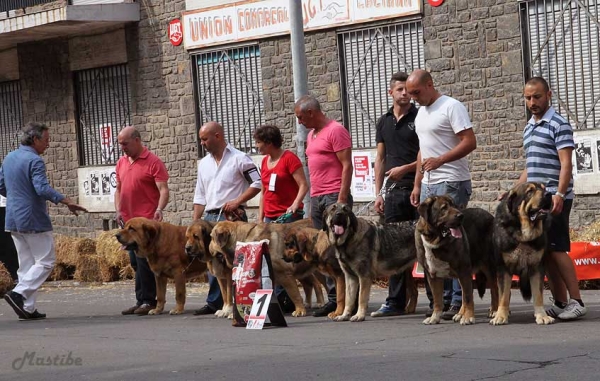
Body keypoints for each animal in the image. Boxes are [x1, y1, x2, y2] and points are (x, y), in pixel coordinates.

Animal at [418, 196, 496, 324]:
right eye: (444, 208)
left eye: (454, 206)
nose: (460, 216)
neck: (436, 241)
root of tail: (491, 216)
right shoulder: (433, 275)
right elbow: (437, 300)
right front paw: (434, 318)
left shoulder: (463, 270)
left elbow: (468, 297)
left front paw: (468, 317)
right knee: (465, 292)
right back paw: (460, 314)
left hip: (489, 267)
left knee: (495, 289)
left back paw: (494, 311)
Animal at [492, 181, 552, 324]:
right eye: (530, 192)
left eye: (544, 188)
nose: (549, 194)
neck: (524, 236)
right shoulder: (503, 269)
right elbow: (503, 295)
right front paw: (500, 316)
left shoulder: (537, 268)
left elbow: (538, 295)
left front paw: (542, 316)